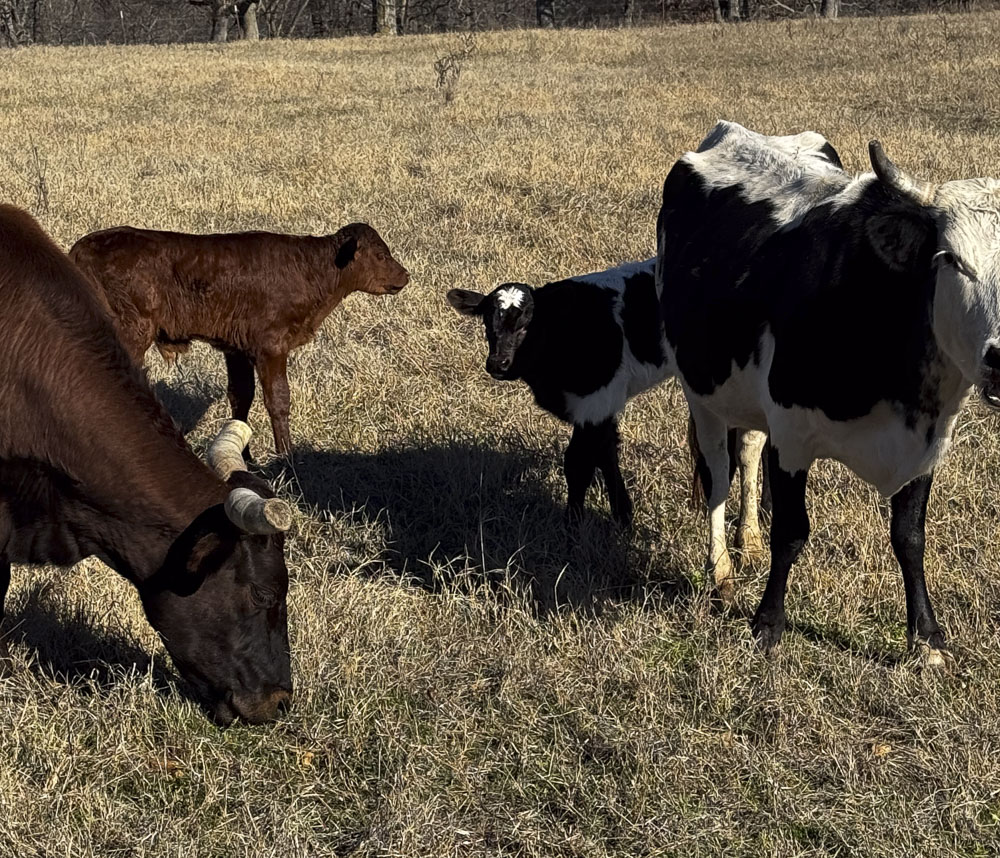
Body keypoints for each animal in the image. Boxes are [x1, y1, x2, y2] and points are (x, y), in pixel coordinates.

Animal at [68, 223, 410, 458]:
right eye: (381, 255)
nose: (405, 276)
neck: (312, 272)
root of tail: (83, 247)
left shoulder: (236, 349)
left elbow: (240, 396)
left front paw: (244, 456)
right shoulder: (271, 346)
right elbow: (278, 400)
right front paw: (287, 458)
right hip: (131, 331)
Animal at [447, 260, 768, 538]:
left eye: (526, 324)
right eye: (488, 324)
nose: (498, 364)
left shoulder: (596, 400)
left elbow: (578, 463)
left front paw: (572, 528)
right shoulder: (599, 405)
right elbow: (606, 452)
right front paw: (623, 515)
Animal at [657, 119, 1000, 661]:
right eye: (950, 259)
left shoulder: (927, 445)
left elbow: (910, 538)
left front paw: (926, 639)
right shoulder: (792, 435)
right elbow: (792, 531)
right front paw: (767, 625)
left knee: (748, 449)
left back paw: (748, 540)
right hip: (702, 392)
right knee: (717, 474)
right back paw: (723, 574)